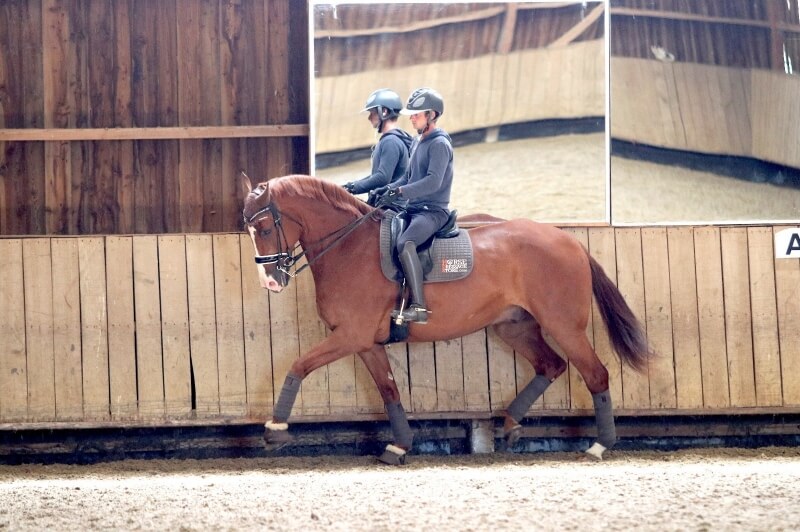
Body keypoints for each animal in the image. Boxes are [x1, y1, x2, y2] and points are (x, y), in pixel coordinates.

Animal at [241, 174, 655, 464]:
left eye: (265, 227)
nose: (270, 281)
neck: (349, 247)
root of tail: (570, 241)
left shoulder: (350, 336)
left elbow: (298, 365)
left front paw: (275, 429)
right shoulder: (367, 342)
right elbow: (389, 391)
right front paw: (398, 446)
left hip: (563, 326)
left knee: (595, 374)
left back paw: (599, 445)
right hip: (515, 326)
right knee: (550, 365)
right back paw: (511, 424)